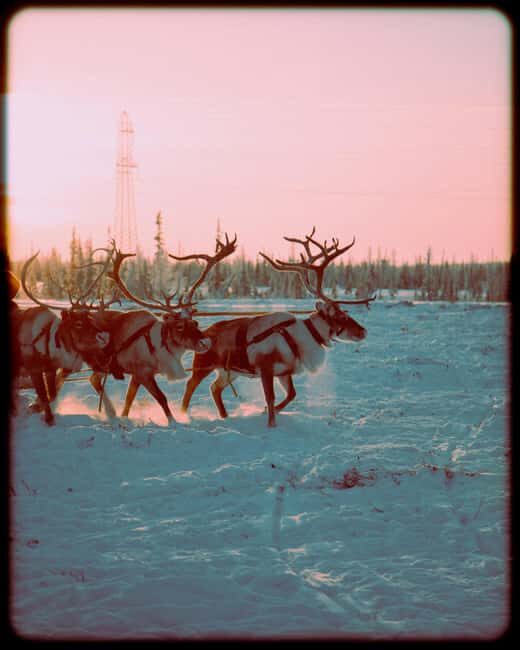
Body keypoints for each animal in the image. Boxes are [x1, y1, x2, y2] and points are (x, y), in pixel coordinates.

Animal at [11, 252, 112, 426]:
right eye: (78, 323)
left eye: (90, 319)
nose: (104, 336)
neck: (48, 343)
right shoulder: (34, 369)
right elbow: (45, 396)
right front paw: (46, 418)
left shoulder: (50, 370)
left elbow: (52, 395)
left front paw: (36, 408)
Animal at [179, 228, 374, 427]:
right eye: (342, 316)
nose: (363, 331)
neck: (303, 336)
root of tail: (204, 333)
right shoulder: (266, 368)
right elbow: (271, 398)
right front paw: (271, 423)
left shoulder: (283, 372)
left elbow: (291, 395)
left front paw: (266, 411)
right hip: (204, 365)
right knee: (190, 385)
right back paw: (182, 415)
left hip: (229, 371)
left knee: (214, 388)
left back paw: (224, 416)